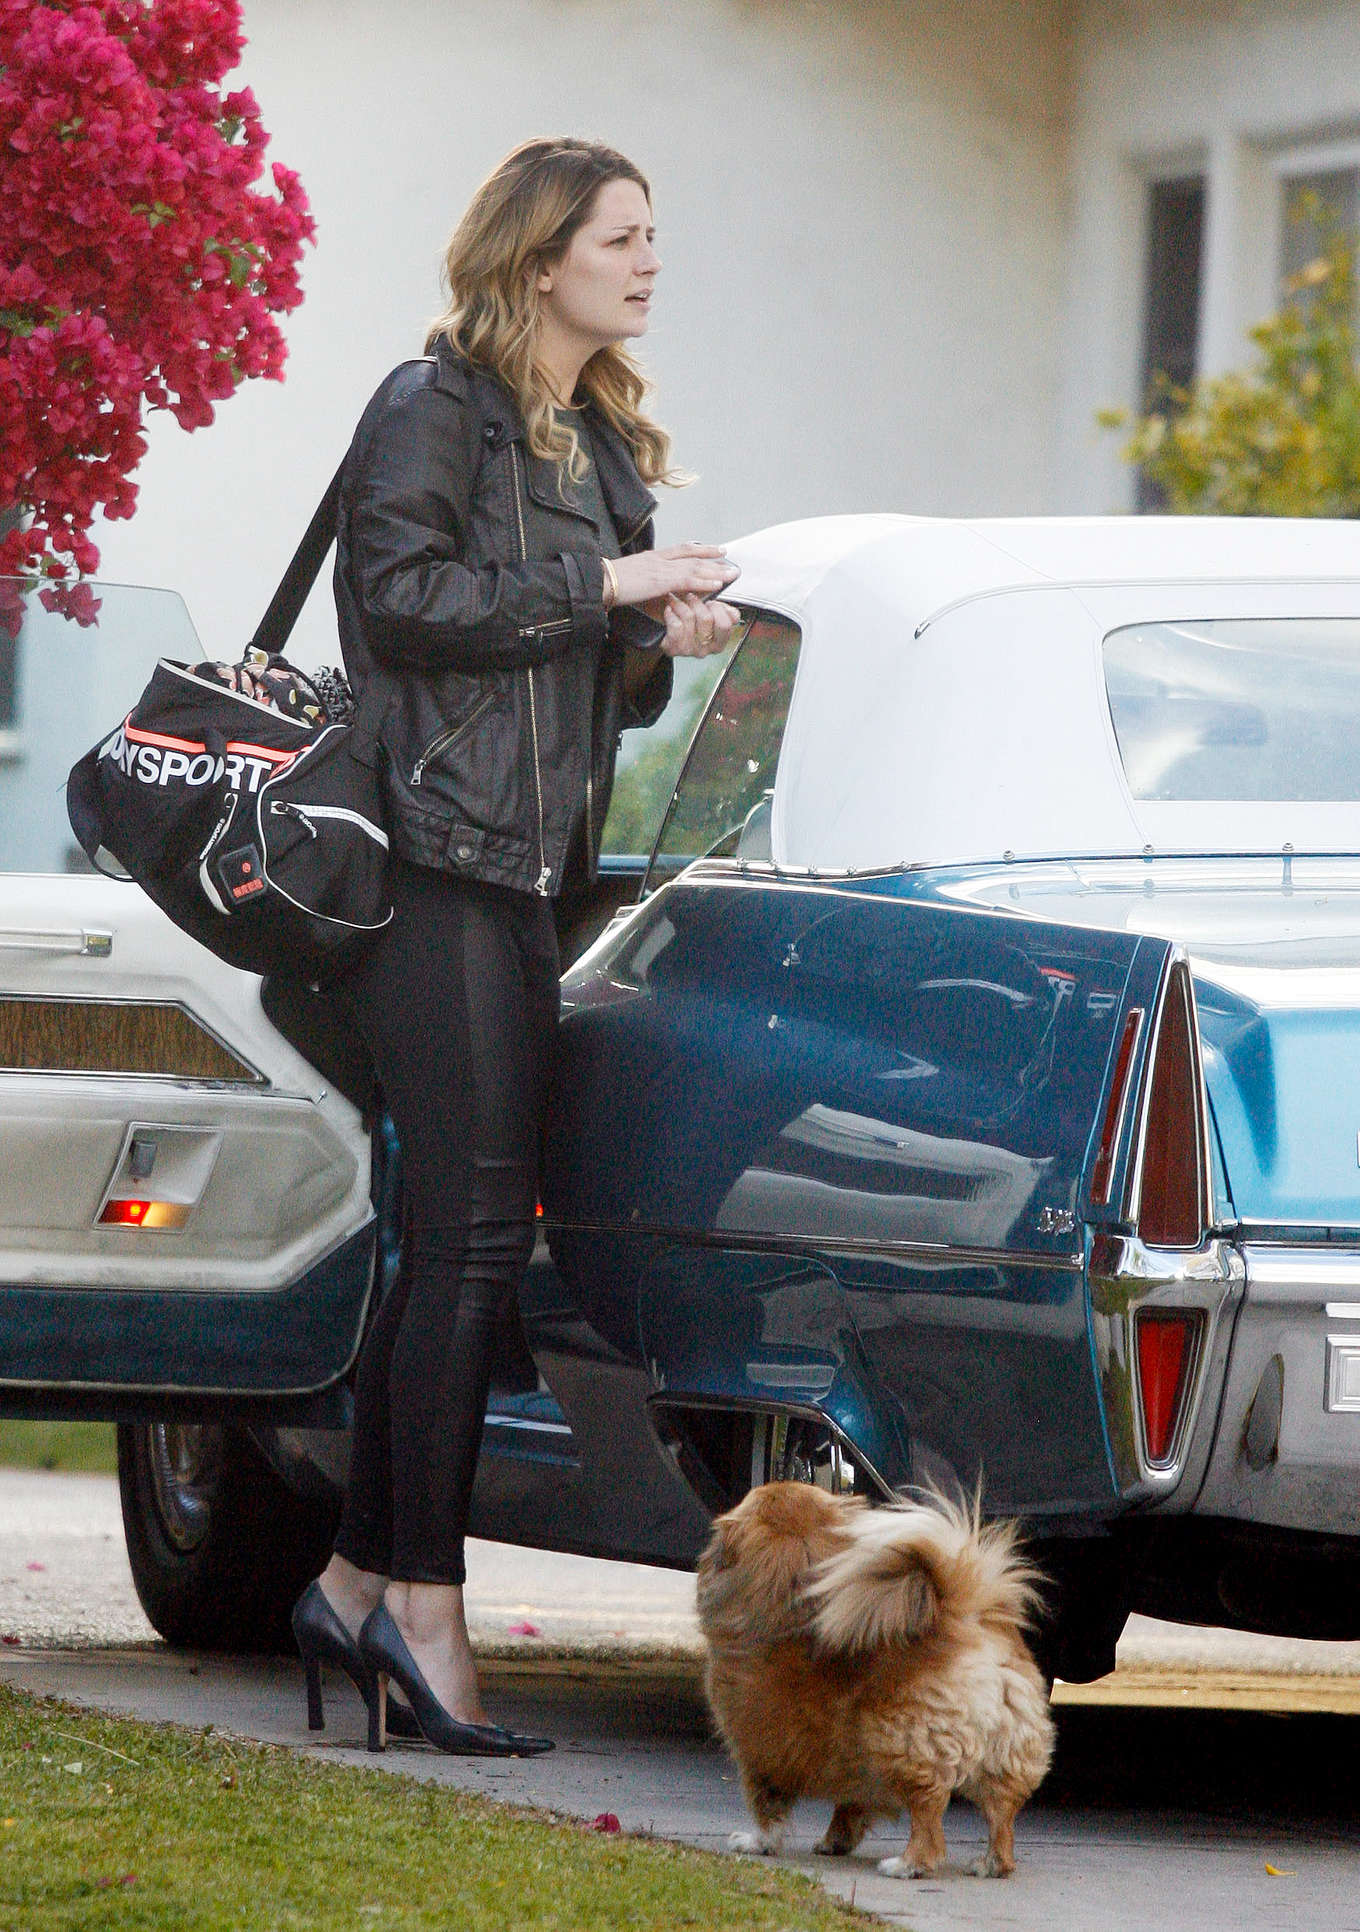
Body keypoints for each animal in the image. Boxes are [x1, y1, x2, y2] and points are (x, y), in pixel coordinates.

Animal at [695, 1476, 1058, 1870]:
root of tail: (967, 1624)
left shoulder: (756, 1750)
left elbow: (766, 1809)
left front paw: (755, 1844)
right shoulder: (853, 1766)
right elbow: (849, 1808)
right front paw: (834, 1842)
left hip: (906, 1745)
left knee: (928, 1814)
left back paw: (907, 1865)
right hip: (1006, 1757)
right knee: (1001, 1814)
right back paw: (992, 1864)